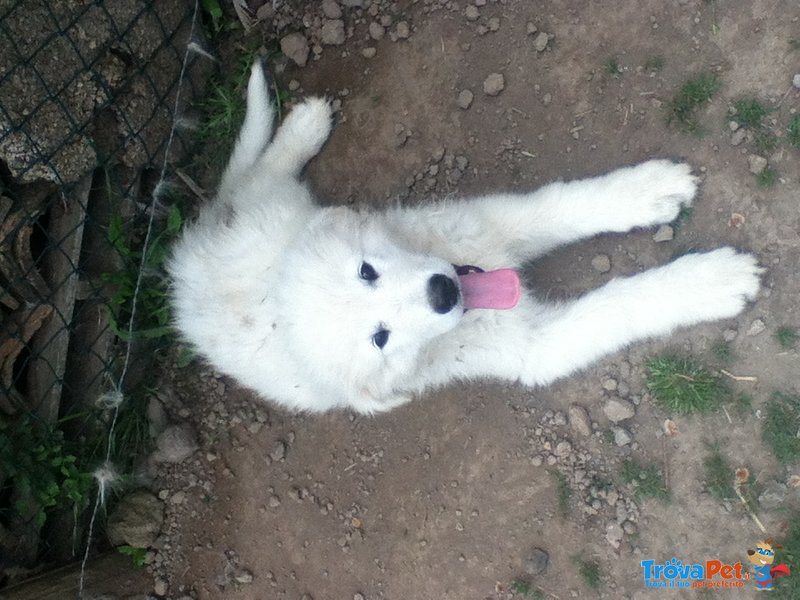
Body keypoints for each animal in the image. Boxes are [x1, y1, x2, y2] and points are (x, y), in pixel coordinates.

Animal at [170, 63, 764, 414]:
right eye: (380, 338)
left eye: (367, 270)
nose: (443, 292)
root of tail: (185, 269)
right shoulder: (533, 348)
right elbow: (619, 304)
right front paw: (715, 281)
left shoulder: (491, 220)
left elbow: (563, 204)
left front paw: (648, 190)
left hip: (277, 210)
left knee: (261, 174)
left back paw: (304, 126)